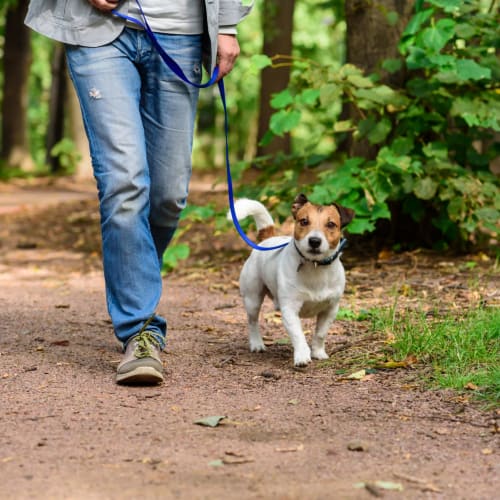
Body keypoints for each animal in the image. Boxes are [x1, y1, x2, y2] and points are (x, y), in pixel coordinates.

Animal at [231, 194, 354, 368]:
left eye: (331, 224)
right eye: (304, 221)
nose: (314, 241)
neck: (314, 267)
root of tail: (268, 239)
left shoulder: (330, 309)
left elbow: (320, 334)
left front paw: (318, 352)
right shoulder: (290, 309)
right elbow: (298, 335)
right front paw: (302, 356)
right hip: (252, 299)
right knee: (252, 321)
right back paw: (256, 344)